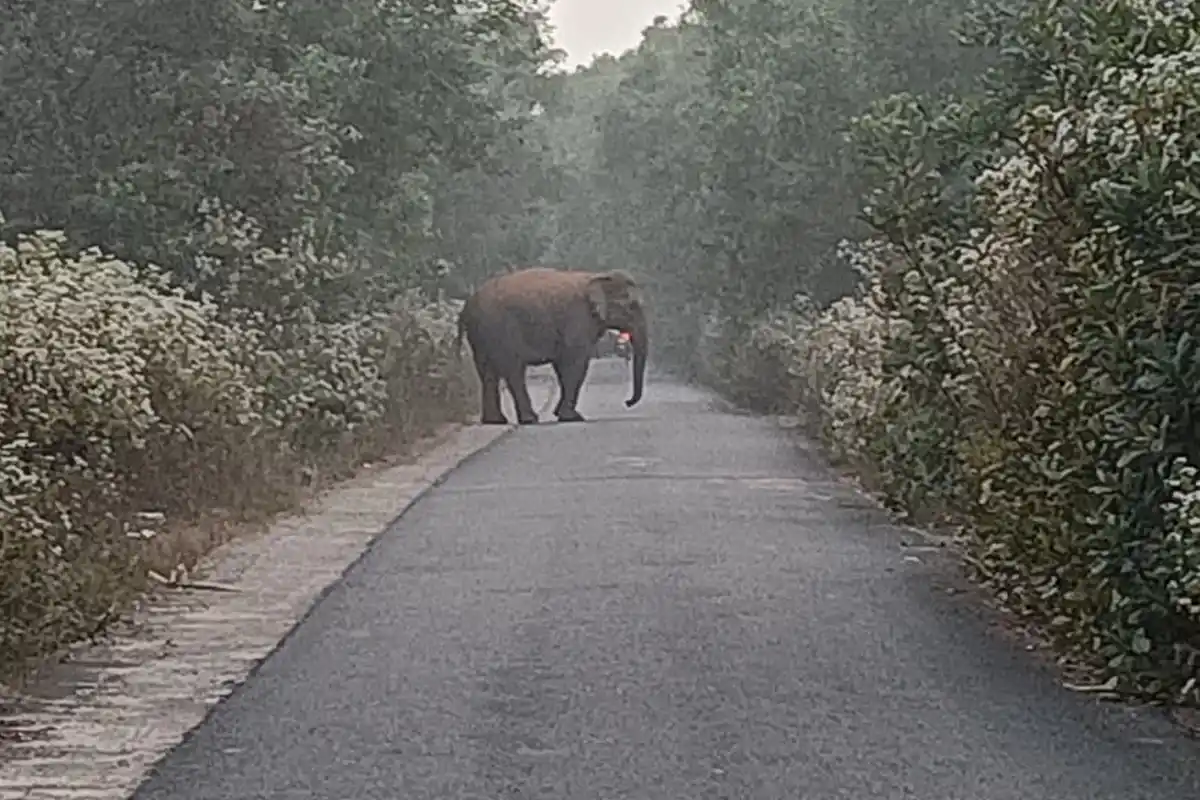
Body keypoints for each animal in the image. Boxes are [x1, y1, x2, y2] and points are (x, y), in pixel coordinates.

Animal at [455, 267, 649, 425]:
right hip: (500, 329)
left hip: (481, 335)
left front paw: (561, 414)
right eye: (632, 306)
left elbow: (564, 365)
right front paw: (572, 417)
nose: (627, 402)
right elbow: (575, 364)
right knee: (514, 370)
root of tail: (467, 306)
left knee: (487, 373)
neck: (596, 277)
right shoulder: (578, 319)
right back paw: (530, 419)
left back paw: (495, 421)